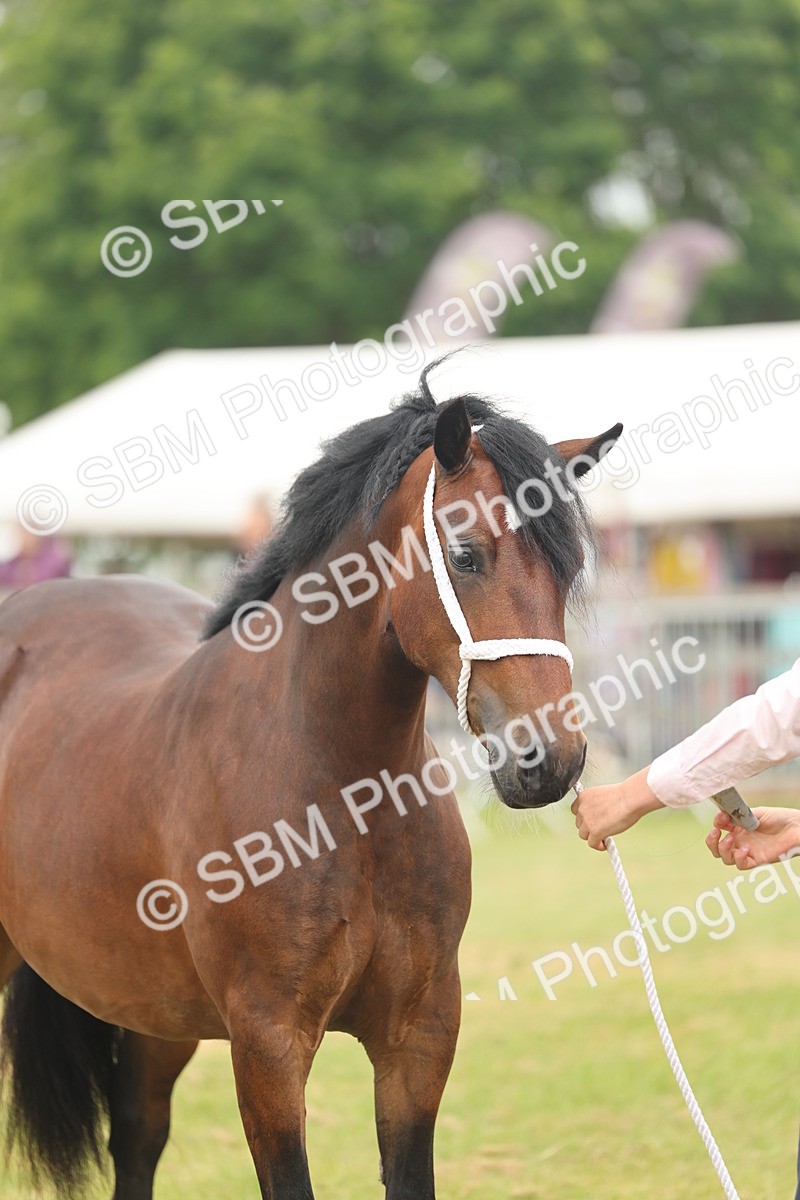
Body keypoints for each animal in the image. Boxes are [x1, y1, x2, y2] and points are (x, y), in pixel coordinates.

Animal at [0, 365, 620, 1199]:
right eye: (465, 554)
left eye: (567, 567)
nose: (549, 759)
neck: (341, 793)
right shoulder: (268, 1043)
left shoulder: (419, 1035)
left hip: (153, 1014)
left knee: (136, 1135)